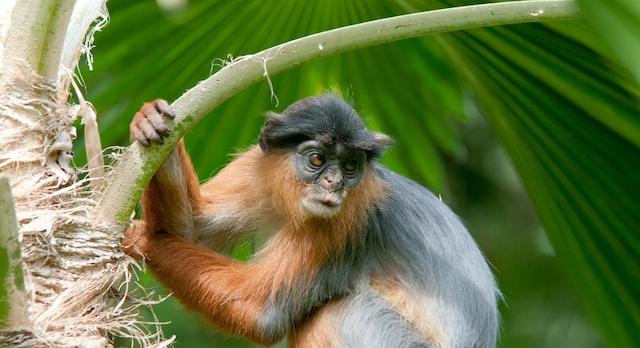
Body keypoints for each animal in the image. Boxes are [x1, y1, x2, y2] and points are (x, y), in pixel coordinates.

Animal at [122, 94, 498, 348]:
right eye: (317, 159)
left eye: (350, 166)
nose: (334, 183)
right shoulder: (257, 168)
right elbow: (189, 229)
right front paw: (149, 121)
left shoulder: (347, 217)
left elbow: (262, 313)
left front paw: (142, 240)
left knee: (337, 312)